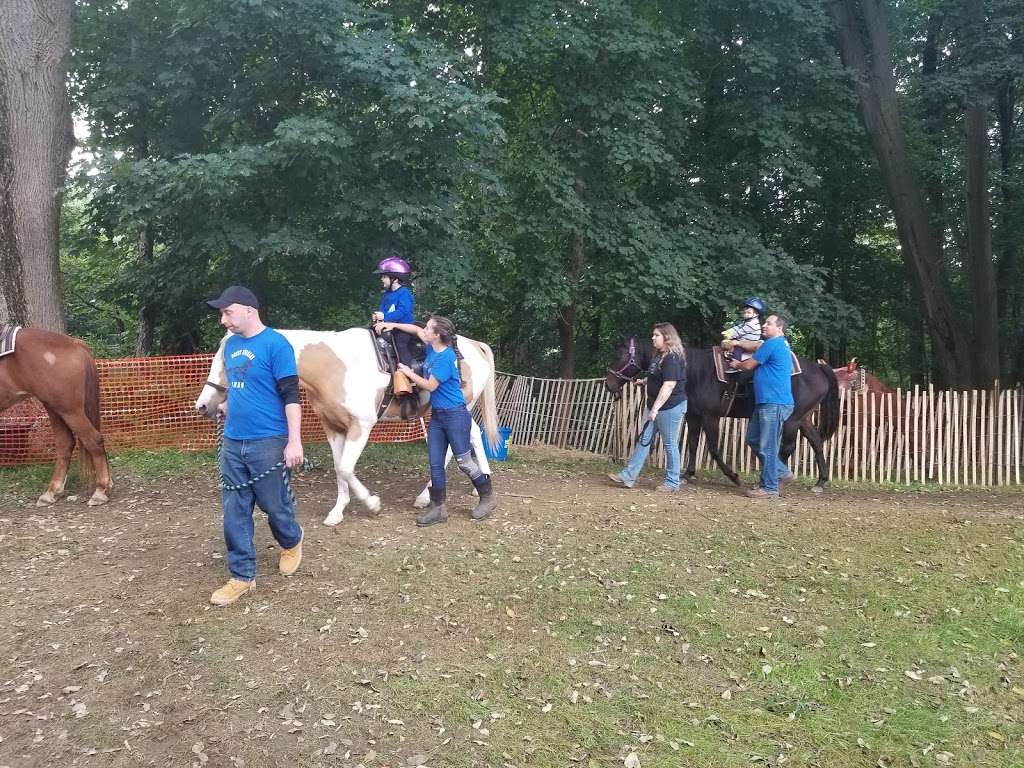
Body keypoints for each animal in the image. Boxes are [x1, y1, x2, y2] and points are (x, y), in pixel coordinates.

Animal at [0, 327, 112, 507]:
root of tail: (74, 343)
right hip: (54, 408)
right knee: (65, 444)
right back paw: (51, 492)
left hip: (69, 410)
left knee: (93, 440)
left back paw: (100, 491)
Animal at [195, 327, 499, 528]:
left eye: (230, 361)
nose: (203, 405)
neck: (334, 367)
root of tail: (473, 345)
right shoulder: (333, 429)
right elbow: (339, 467)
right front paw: (338, 511)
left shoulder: (360, 427)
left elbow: (344, 467)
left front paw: (372, 504)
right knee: (474, 434)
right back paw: (477, 486)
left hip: (454, 408)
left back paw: (429, 496)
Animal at [602, 337, 835, 493]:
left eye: (619, 355)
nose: (609, 384)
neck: (695, 371)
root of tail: (819, 368)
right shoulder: (694, 416)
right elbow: (693, 444)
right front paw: (688, 474)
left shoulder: (710, 417)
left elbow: (713, 448)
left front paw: (734, 477)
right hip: (803, 419)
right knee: (816, 442)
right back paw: (820, 481)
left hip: (793, 420)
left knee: (787, 448)